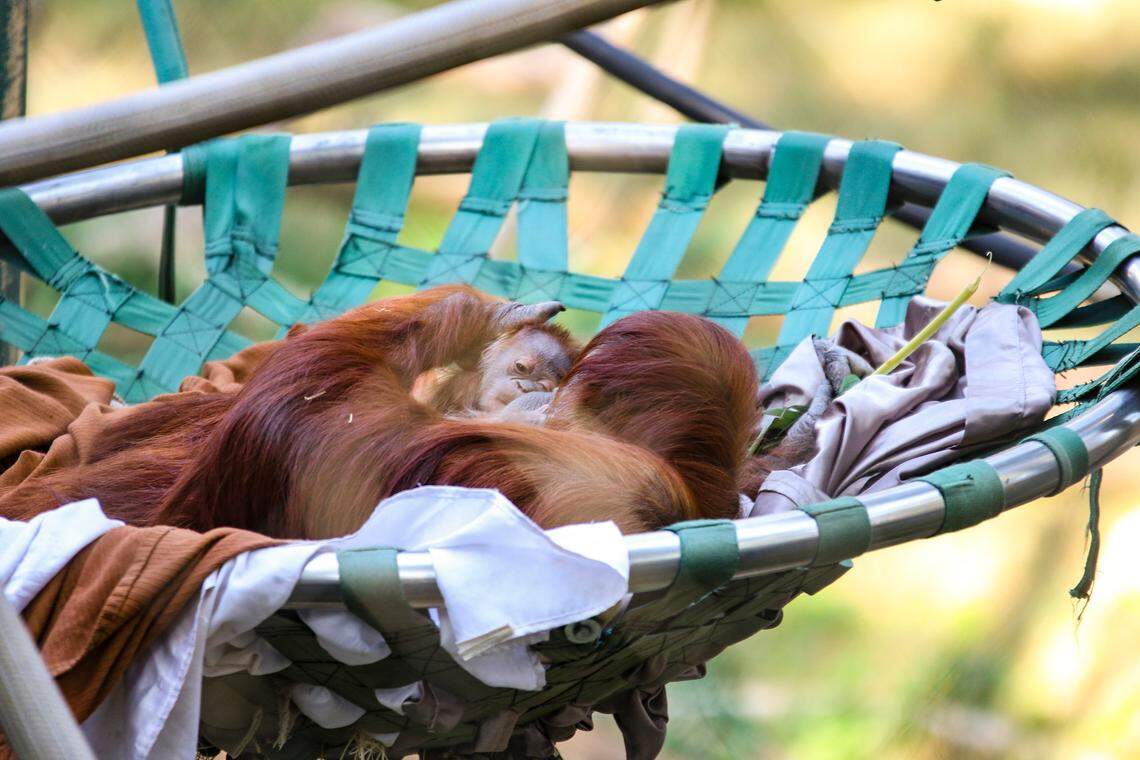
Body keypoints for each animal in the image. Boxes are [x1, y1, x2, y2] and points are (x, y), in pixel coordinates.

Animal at [0, 286, 763, 537]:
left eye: (544, 381)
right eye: (523, 374)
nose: (532, 392)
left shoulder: (590, 484)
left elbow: (302, 428)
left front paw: (468, 314)